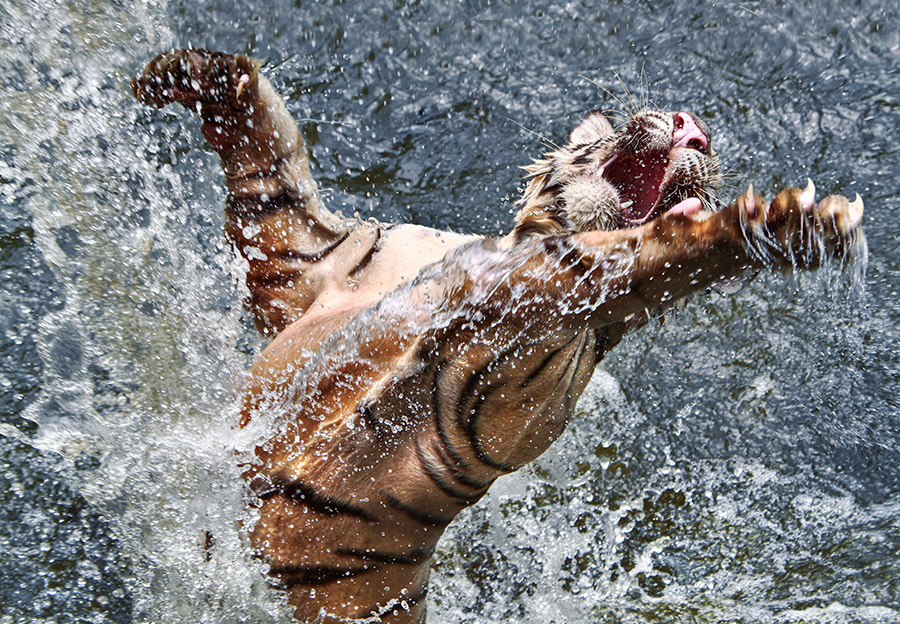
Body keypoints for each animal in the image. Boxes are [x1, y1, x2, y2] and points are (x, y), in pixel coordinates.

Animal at [132, 50, 864, 624]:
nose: (697, 128)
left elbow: (641, 259)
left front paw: (792, 220)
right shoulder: (316, 264)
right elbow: (270, 168)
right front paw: (184, 73)